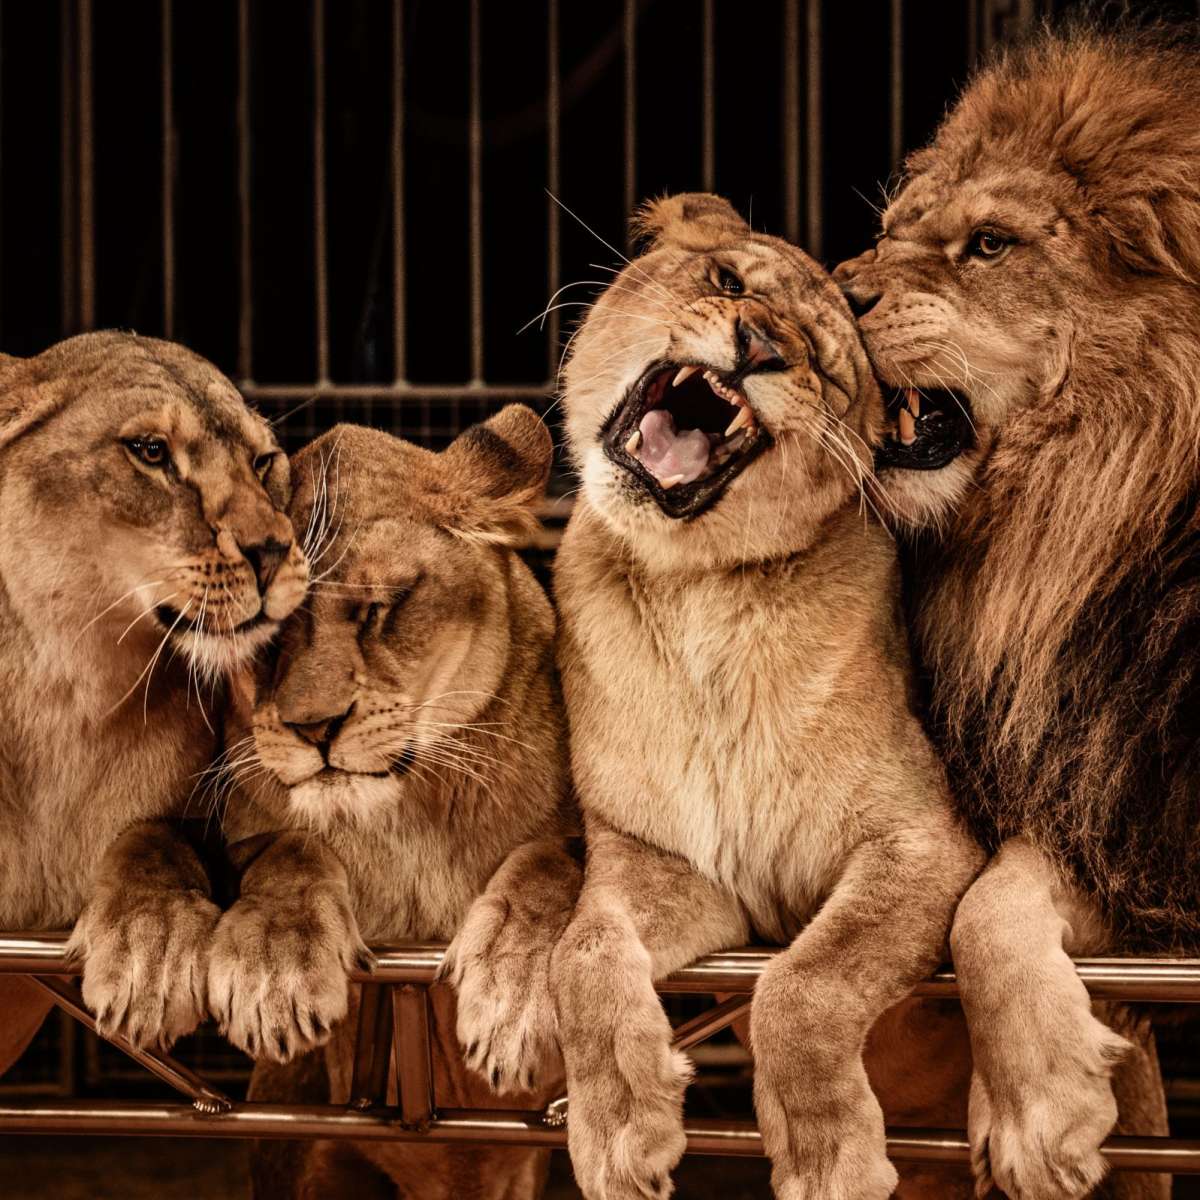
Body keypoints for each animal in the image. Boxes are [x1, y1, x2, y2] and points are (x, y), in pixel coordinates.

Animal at [0, 330, 308, 1061]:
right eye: (150, 452)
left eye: (263, 462)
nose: (273, 550)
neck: (66, 686)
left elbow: (153, 838)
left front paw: (154, 945)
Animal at [208, 407, 580, 1199]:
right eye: (266, 635)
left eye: (379, 608)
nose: (314, 727)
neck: (403, 814)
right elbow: (287, 849)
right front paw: (274, 969)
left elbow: (553, 863)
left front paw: (511, 992)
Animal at [546, 191, 984, 1200]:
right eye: (728, 281)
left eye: (823, 367)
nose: (757, 345)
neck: (697, 589)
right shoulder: (663, 862)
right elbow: (581, 954)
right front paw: (620, 1129)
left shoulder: (923, 841)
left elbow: (805, 983)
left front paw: (828, 1158)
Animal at [832, 22, 1199, 1200]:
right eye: (890, 232)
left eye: (989, 245)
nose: (829, 290)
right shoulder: (1113, 783)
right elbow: (988, 900)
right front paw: (1038, 1103)